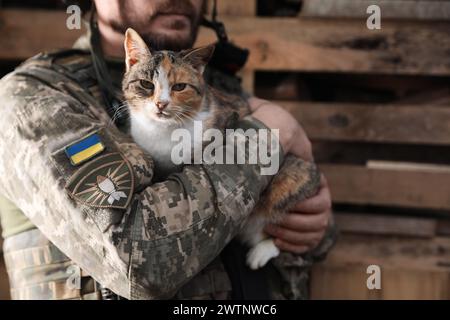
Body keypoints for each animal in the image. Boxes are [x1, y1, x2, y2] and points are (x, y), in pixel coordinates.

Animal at [123, 28, 320, 270]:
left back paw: (262, 251)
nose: (161, 104)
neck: (163, 130)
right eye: (146, 84)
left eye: (179, 86)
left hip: (291, 181)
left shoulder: (231, 118)